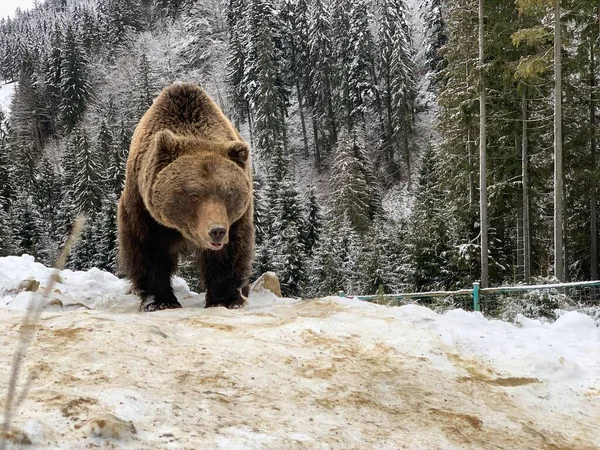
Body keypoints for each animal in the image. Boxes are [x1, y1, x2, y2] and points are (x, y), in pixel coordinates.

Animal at [117, 82, 253, 312]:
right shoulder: (144, 207)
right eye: (193, 194)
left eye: (228, 193)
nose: (217, 231)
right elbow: (148, 247)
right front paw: (160, 300)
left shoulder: (236, 218)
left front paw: (226, 298)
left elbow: (231, 251)